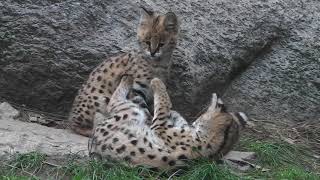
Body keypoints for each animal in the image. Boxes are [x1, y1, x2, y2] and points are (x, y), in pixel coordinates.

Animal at [69, 7, 179, 136]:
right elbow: (144, 110)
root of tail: (71, 116)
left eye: (161, 44)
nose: (152, 52)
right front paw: (149, 126)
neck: (158, 64)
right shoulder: (136, 89)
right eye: (147, 41)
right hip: (98, 100)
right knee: (81, 126)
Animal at [87, 76, 252, 169]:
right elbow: (177, 116)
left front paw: (156, 82)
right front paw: (175, 112)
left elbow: (163, 103)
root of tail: (94, 148)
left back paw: (126, 79)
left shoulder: (159, 126)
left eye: (199, 119)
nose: (195, 122)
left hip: (128, 110)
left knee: (113, 101)